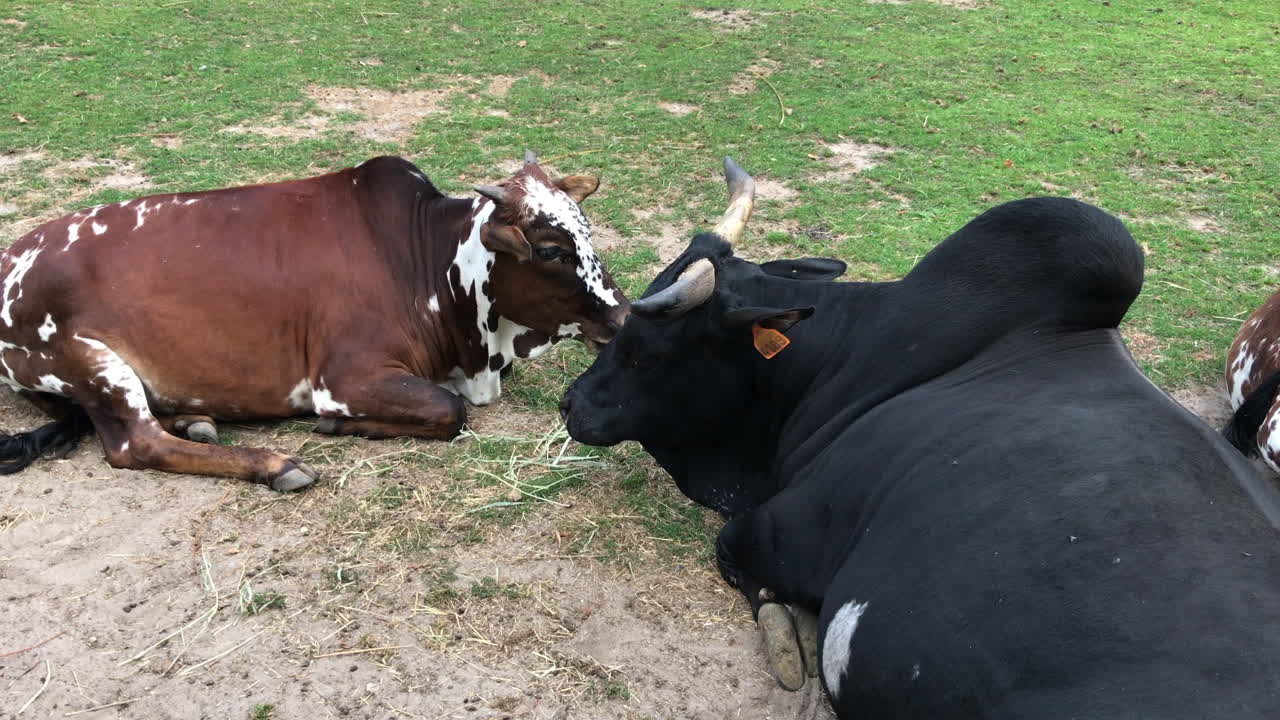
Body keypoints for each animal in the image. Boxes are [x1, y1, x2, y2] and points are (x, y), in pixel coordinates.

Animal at [0, 151, 628, 490]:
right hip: (93, 364)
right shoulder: (345, 377)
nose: (623, 316)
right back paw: (275, 464)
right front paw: (340, 426)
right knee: (135, 443)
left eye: (588, 233)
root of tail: (12, 257)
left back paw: (196, 418)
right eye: (550, 250)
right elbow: (449, 412)